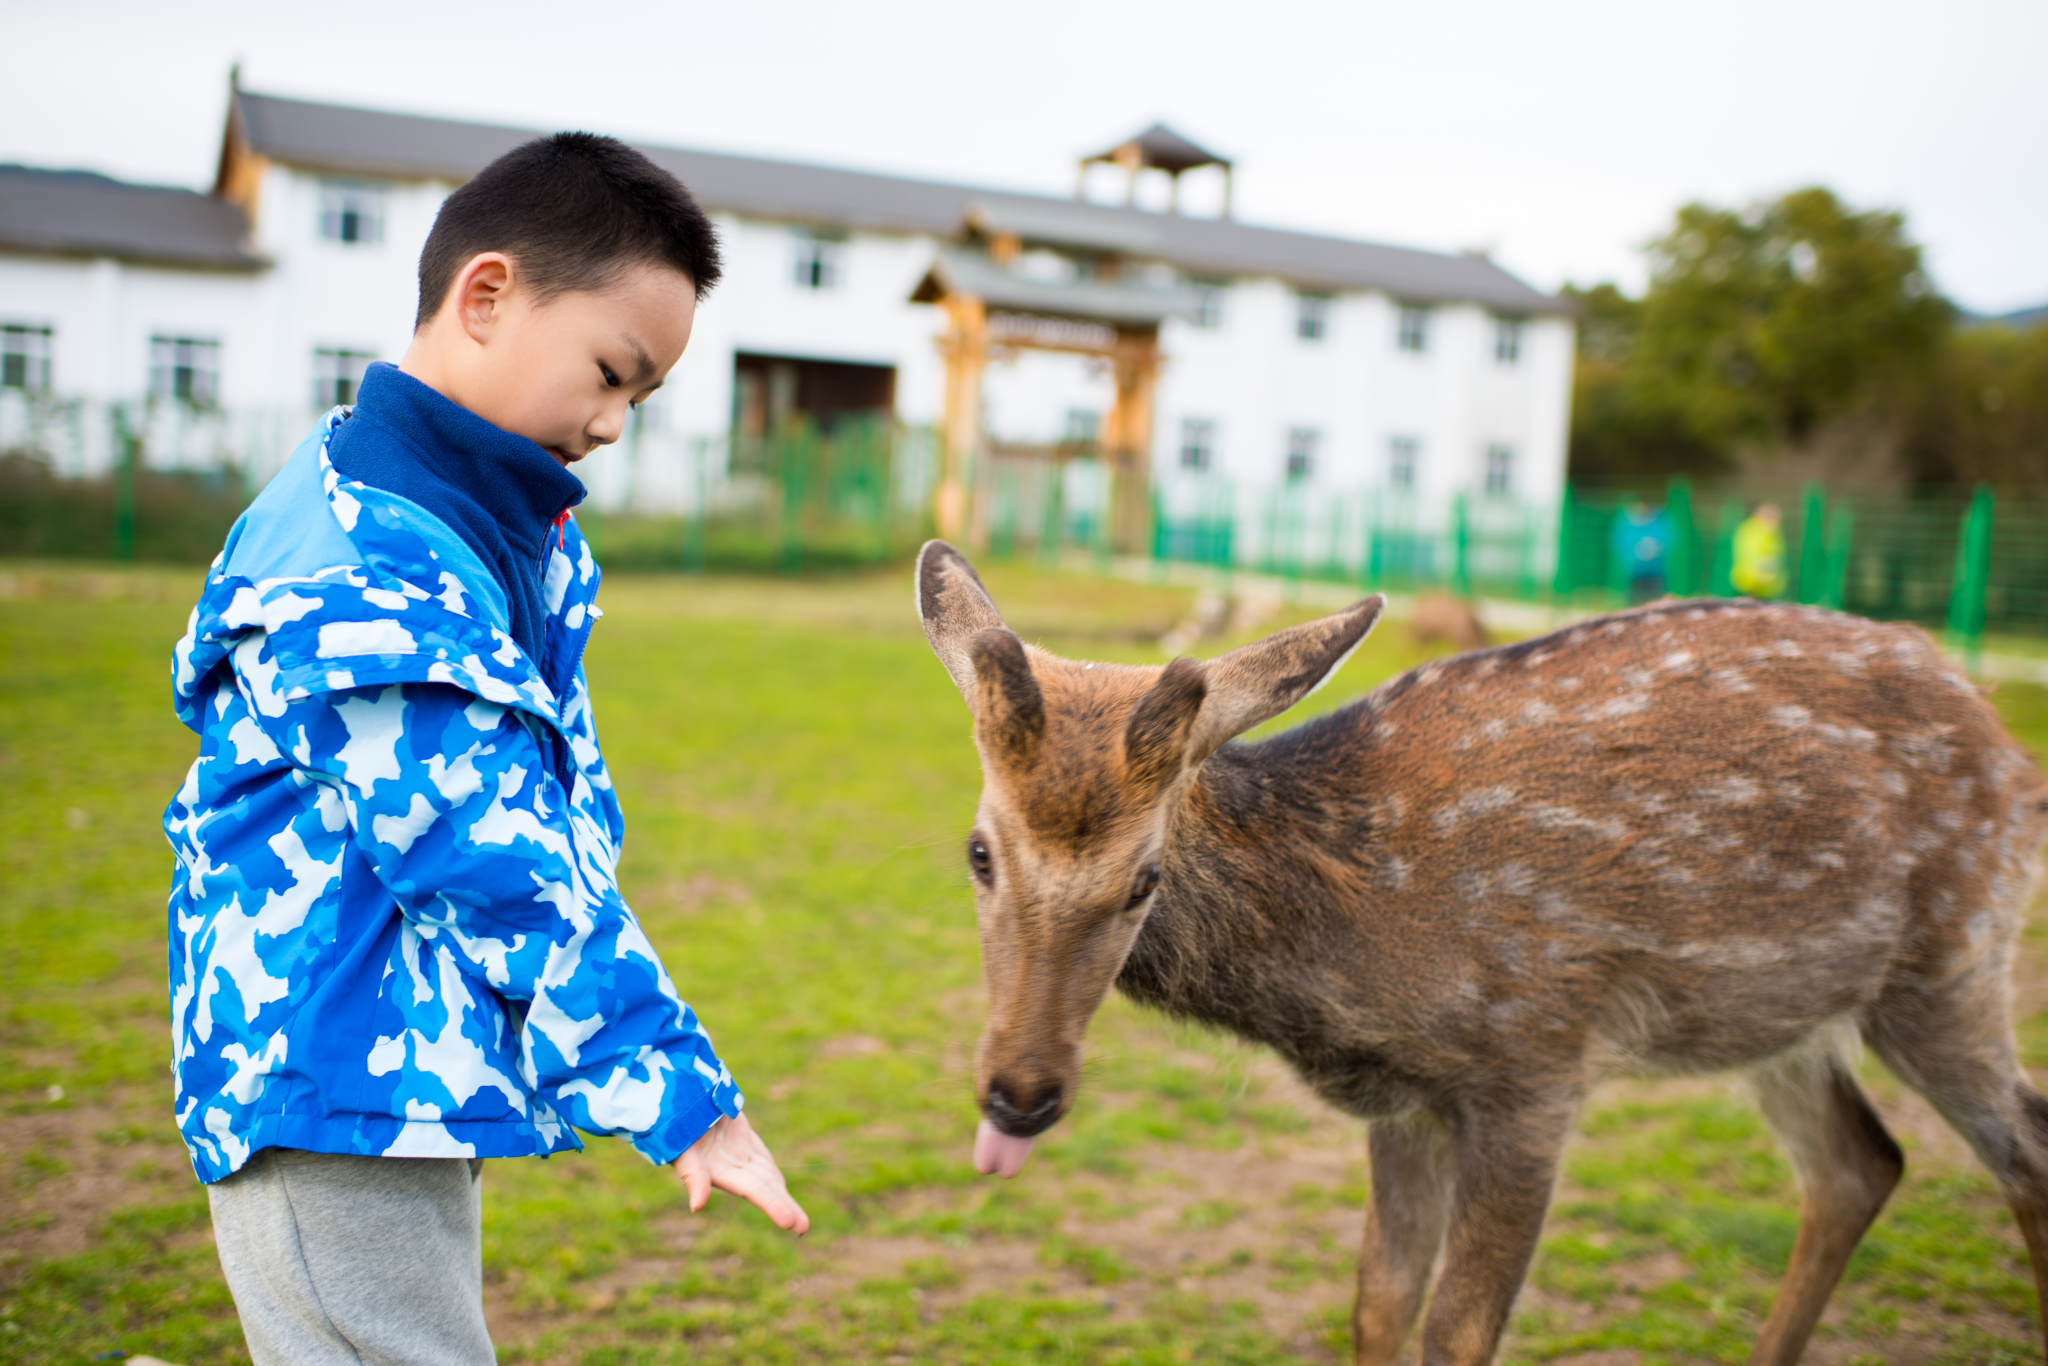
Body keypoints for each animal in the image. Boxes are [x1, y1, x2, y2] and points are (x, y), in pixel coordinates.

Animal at [917, 540, 2048, 1366]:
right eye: (978, 851)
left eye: (1144, 877)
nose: (1020, 1094)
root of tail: (2009, 745)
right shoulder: (1405, 1101)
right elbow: (1376, 1303)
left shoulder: (1534, 1064)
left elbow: (1456, 1332)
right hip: (1779, 1013)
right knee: (1860, 1163)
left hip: (1951, 955)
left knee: (2022, 1150)